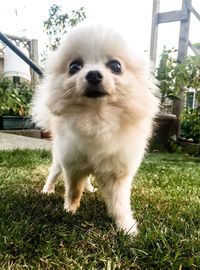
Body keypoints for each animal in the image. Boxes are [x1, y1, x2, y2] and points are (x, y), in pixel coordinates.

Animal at [32, 25, 160, 236]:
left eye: (115, 66)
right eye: (74, 67)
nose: (93, 74)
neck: (96, 119)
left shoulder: (118, 171)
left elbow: (119, 203)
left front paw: (126, 226)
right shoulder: (72, 165)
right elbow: (73, 190)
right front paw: (70, 210)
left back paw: (90, 188)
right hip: (59, 159)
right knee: (53, 173)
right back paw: (47, 190)